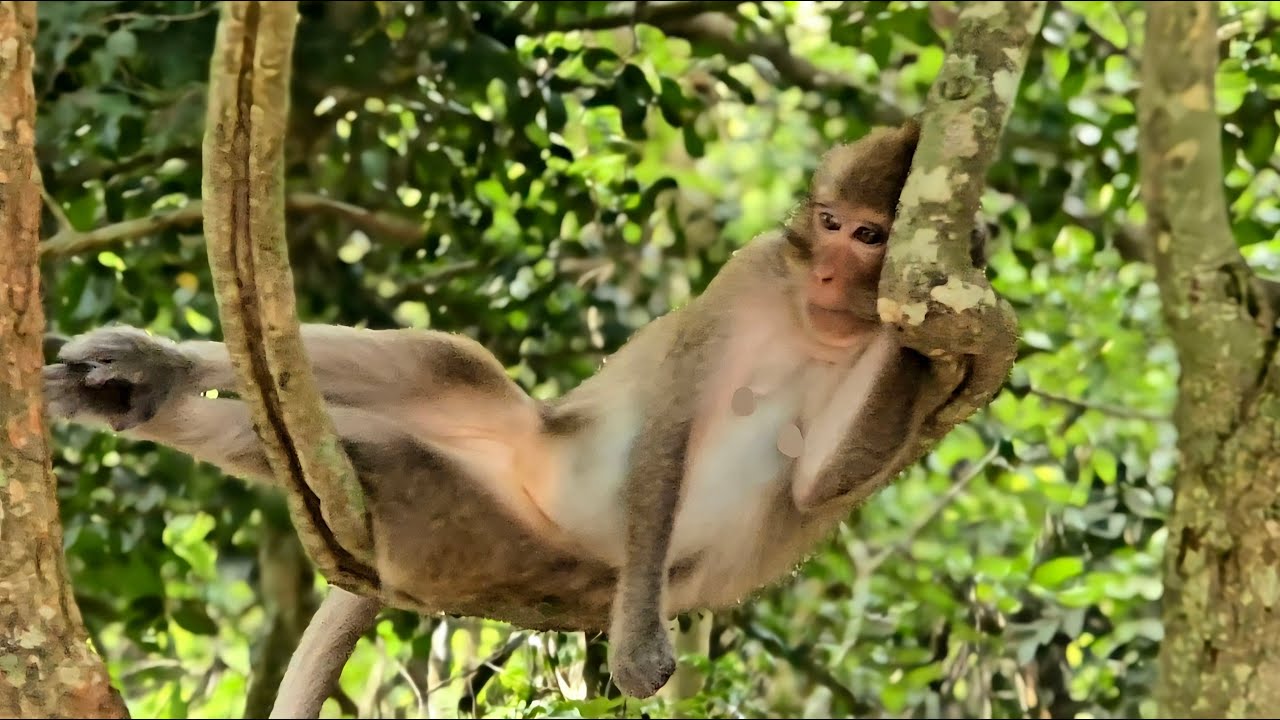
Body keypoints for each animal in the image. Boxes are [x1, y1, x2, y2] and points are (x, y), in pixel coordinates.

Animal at [43, 119, 986, 699]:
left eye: (867, 235)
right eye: (827, 222)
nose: (826, 271)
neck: (816, 325)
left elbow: (820, 481)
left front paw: (945, 320)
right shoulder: (750, 275)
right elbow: (672, 423)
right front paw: (639, 645)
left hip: (491, 548)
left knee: (393, 460)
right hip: (532, 449)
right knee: (442, 367)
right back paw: (151, 383)